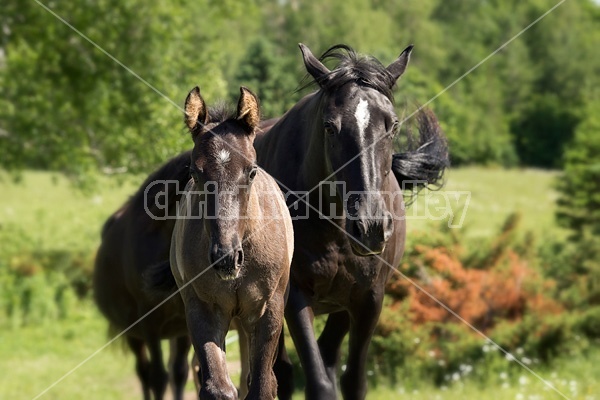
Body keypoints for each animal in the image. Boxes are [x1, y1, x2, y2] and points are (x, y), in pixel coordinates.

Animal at [252, 42, 446, 398]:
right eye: (330, 126)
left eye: (392, 125)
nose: (370, 228)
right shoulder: (295, 296)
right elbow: (318, 384)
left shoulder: (368, 299)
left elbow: (353, 380)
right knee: (280, 372)